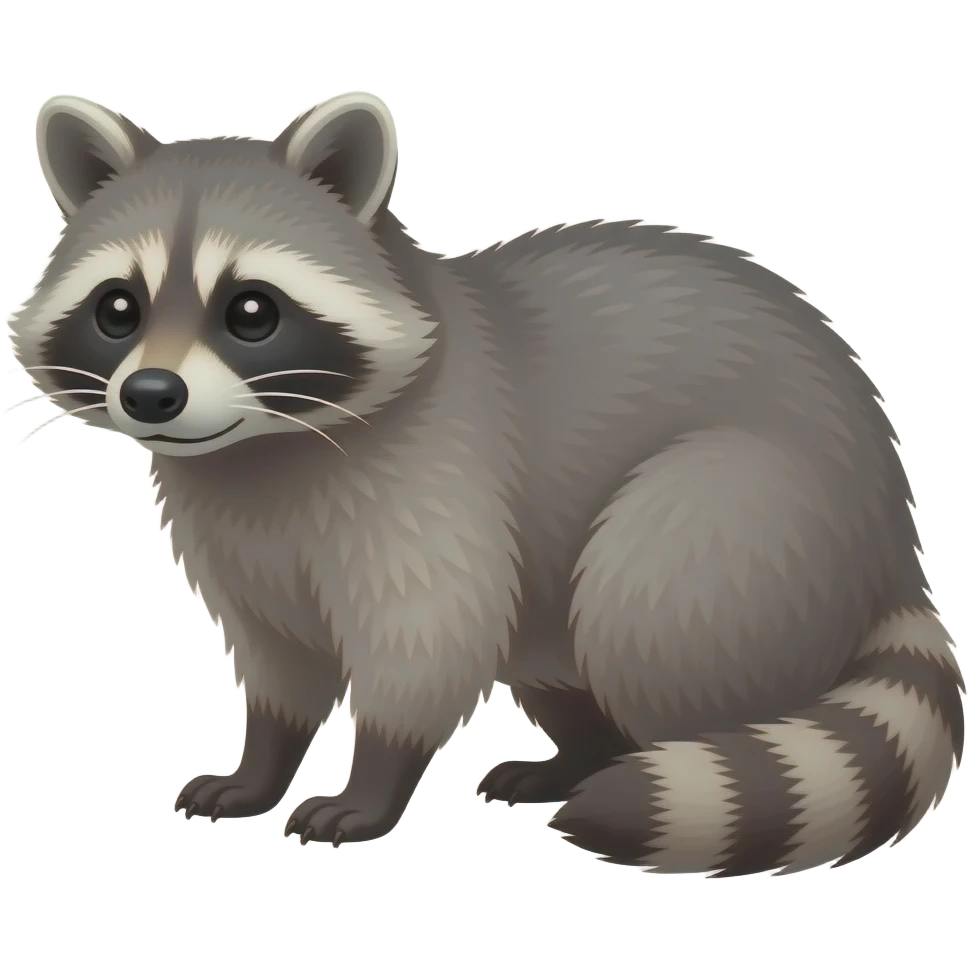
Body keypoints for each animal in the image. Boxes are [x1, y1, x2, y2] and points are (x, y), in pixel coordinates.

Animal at [7, 91, 964, 876]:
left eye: (250, 311)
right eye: (118, 309)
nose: (151, 395)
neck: (261, 445)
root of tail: (893, 545)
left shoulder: (436, 474)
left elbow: (428, 640)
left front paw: (372, 782)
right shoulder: (237, 537)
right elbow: (280, 660)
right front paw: (260, 762)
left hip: (751, 524)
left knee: (642, 593)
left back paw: (674, 754)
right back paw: (579, 755)